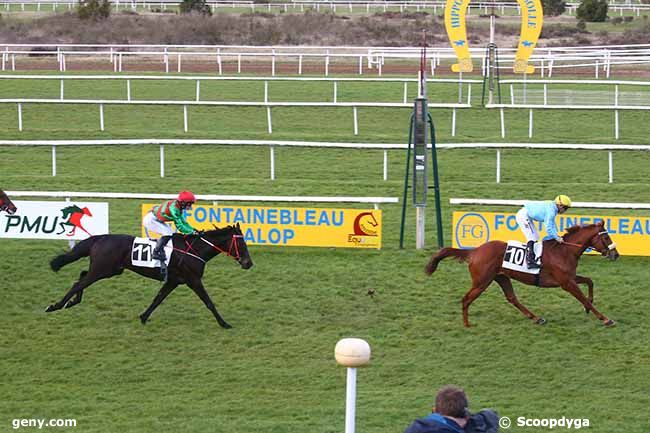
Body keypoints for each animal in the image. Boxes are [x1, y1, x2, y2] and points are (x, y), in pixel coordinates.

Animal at [46, 223, 251, 328]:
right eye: (242, 244)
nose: (249, 263)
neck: (195, 250)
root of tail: (101, 237)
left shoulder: (174, 281)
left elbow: (158, 299)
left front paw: (143, 317)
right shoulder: (193, 279)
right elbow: (209, 302)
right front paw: (224, 323)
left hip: (110, 269)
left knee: (81, 276)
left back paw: (72, 301)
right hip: (103, 269)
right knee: (79, 283)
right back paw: (56, 305)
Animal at [426, 221, 616, 326]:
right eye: (606, 238)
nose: (615, 254)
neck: (564, 251)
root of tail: (475, 251)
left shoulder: (569, 278)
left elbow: (589, 281)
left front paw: (589, 307)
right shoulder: (566, 283)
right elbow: (583, 297)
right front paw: (605, 319)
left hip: (501, 277)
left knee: (512, 298)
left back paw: (536, 318)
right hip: (481, 282)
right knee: (466, 299)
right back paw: (466, 324)